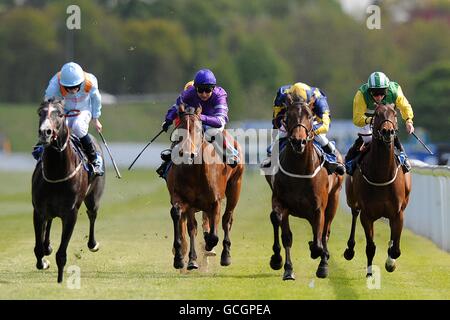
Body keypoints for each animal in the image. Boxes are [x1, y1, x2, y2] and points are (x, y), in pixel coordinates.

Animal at [31, 99, 105, 282]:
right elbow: (38, 248)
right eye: (40, 112)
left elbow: (61, 254)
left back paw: (93, 244)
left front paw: (59, 279)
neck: (57, 173)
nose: (45, 132)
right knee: (49, 222)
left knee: (92, 214)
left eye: (59, 114)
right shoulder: (39, 210)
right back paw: (48, 246)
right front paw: (43, 261)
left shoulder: (71, 213)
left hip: (93, 197)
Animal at [164, 104, 243, 268]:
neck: (194, 171)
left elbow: (214, 234)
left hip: (235, 186)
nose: (186, 153)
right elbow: (185, 222)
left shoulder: (215, 200)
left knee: (227, 219)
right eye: (179, 127)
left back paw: (225, 255)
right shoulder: (184, 200)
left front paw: (209, 245)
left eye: (198, 129)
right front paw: (183, 258)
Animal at [266, 94, 342, 280]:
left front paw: (318, 254)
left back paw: (323, 264)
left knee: (325, 232)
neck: (299, 169)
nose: (298, 141)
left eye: (309, 116)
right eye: (289, 116)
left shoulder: (319, 208)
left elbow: (319, 240)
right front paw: (285, 266)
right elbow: (283, 230)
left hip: (334, 200)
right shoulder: (280, 201)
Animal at [344, 104, 412, 276]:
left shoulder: (398, 213)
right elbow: (370, 247)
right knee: (354, 213)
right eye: (377, 114)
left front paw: (390, 262)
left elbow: (395, 249)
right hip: (351, 200)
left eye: (395, 114)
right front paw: (369, 273)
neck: (381, 175)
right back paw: (349, 250)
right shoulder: (367, 215)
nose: (388, 131)